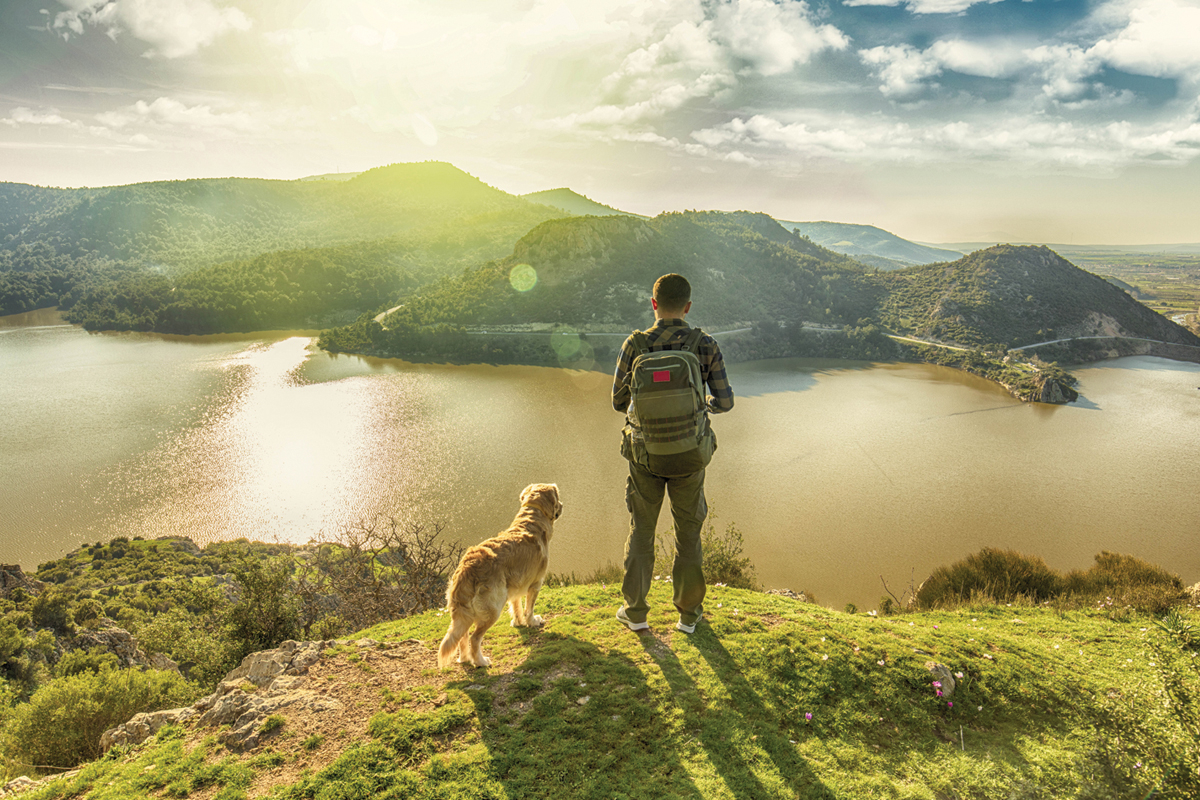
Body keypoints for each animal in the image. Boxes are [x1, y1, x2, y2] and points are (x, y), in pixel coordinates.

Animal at [436, 484, 561, 666]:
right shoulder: (536, 583)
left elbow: (516, 607)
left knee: (462, 636)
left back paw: (465, 659)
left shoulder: (515, 586)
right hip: (493, 608)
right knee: (474, 638)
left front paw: (518, 622)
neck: (533, 518)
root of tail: (467, 568)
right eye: (558, 498)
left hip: (464, 612)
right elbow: (529, 608)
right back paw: (480, 662)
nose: (562, 505)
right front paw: (532, 622)